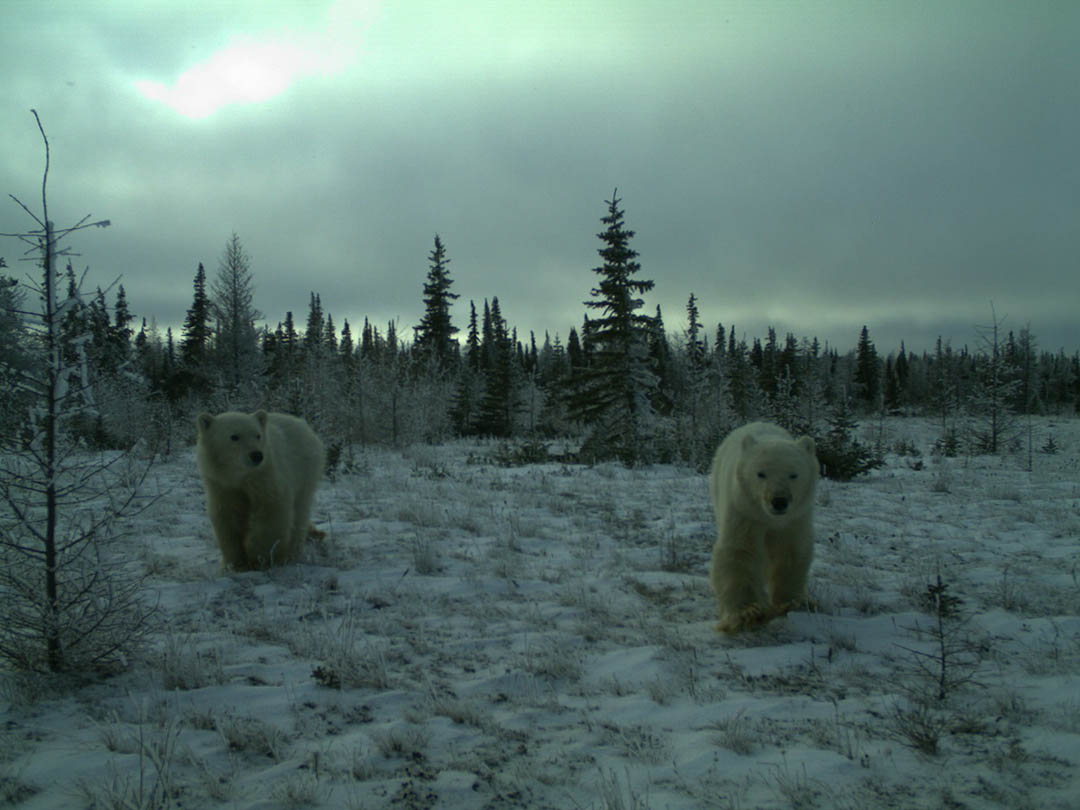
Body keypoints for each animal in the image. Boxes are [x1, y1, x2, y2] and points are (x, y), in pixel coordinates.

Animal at [196, 410, 326, 570]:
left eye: (257, 435)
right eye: (234, 436)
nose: (256, 455)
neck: (240, 477)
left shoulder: (265, 477)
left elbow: (270, 511)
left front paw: (259, 557)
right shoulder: (222, 485)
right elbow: (228, 515)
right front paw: (235, 562)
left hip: (305, 472)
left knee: (300, 511)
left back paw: (292, 552)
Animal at [708, 421, 819, 633]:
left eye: (793, 474)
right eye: (761, 473)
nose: (779, 501)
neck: (769, 519)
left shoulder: (794, 520)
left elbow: (790, 553)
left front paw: (791, 602)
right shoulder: (745, 512)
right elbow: (741, 552)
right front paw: (747, 614)